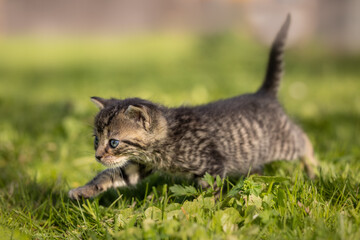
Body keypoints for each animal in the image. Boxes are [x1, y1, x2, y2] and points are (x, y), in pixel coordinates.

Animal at [68, 15, 318, 201]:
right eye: (96, 140)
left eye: (113, 142)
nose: (97, 156)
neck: (167, 136)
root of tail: (263, 93)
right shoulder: (139, 165)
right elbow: (110, 175)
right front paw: (83, 190)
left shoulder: (212, 165)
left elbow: (211, 191)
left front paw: (208, 208)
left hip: (284, 143)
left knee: (304, 140)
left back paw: (313, 169)